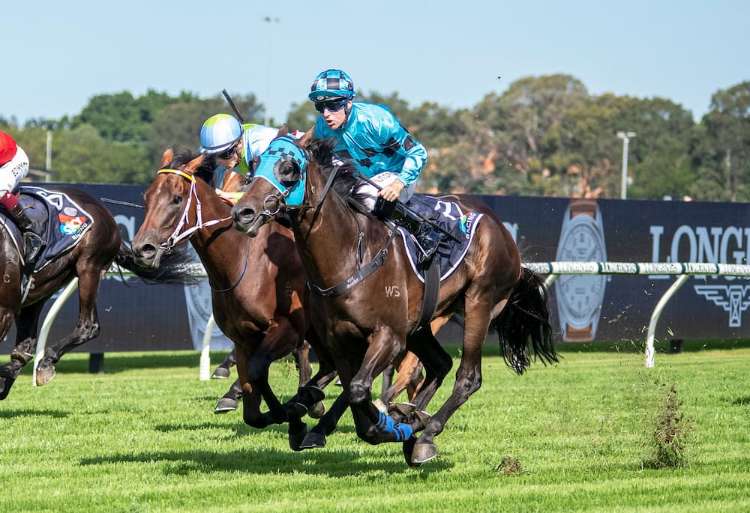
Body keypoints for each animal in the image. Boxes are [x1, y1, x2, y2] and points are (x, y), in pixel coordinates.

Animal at [0, 186, 190, 399]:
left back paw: (44, 363)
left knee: (88, 326)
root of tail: (104, 210)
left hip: (89, 267)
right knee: (24, 347)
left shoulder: (5, 310)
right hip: (41, 287)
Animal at [131, 148, 335, 449]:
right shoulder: (243, 339)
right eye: (146, 196)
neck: (241, 261)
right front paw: (293, 416)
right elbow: (253, 404)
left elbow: (260, 373)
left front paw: (296, 414)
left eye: (177, 198)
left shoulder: (285, 330)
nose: (142, 249)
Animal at [231, 134, 557, 465]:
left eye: (289, 168)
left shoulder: (389, 335)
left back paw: (424, 435)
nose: (243, 213)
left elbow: (359, 389)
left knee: (468, 377)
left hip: (480, 301)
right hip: (420, 324)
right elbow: (354, 392)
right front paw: (383, 421)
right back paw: (410, 417)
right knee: (439, 364)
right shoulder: (340, 340)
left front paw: (385, 425)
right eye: (255, 164)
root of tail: (501, 231)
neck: (349, 257)